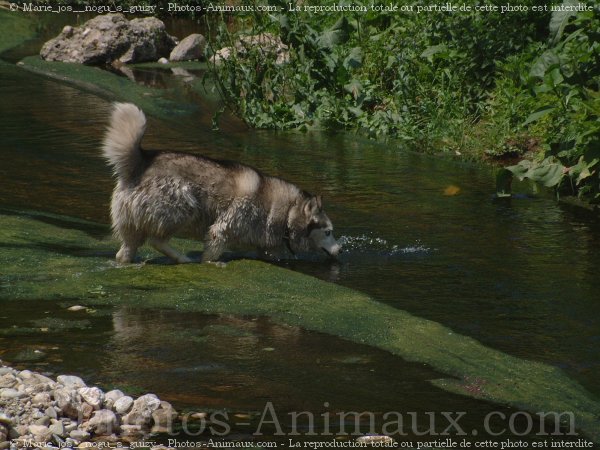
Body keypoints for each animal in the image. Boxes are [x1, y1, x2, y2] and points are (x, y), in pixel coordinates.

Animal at [103, 102, 342, 264]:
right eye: (328, 232)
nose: (340, 250)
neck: (287, 214)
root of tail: (142, 160)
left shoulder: (266, 244)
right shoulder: (223, 228)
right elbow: (212, 249)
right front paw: (210, 263)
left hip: (132, 223)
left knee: (125, 251)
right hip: (184, 205)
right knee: (156, 240)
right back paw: (183, 259)